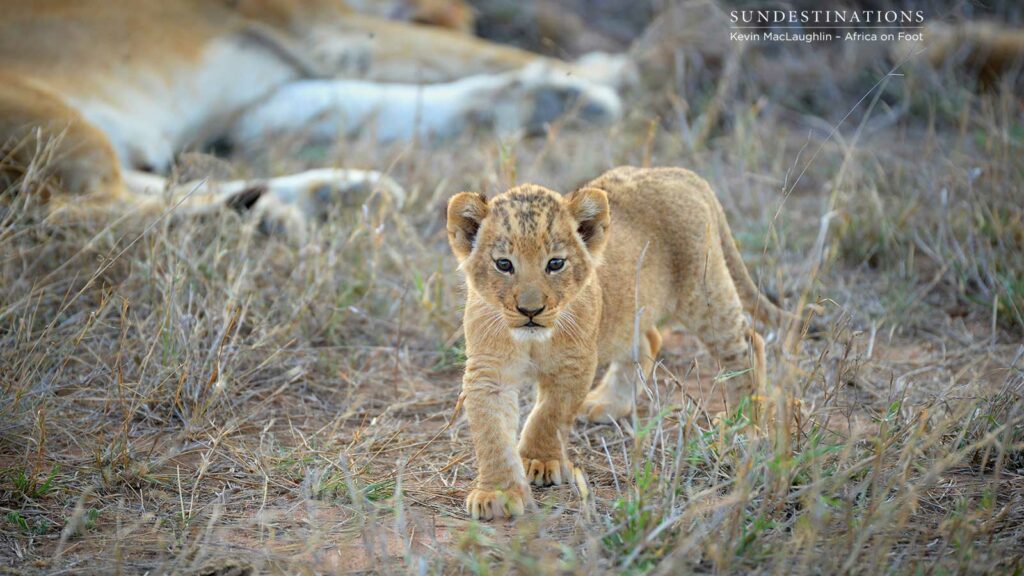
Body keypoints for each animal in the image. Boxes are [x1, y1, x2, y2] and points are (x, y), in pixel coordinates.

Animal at [0, 0, 629, 230]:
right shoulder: (322, 25)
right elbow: (470, 53)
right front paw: (601, 77)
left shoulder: (256, 108)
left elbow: (381, 102)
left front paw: (558, 98)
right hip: (50, 120)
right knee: (69, 210)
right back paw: (260, 220)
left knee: (152, 189)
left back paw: (334, 194)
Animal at [446, 166, 799, 520]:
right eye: (503, 264)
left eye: (555, 263)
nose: (530, 311)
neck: (534, 339)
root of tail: (678, 173)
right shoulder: (490, 371)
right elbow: (491, 432)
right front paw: (497, 493)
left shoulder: (575, 364)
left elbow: (550, 414)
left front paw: (538, 459)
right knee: (650, 340)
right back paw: (609, 403)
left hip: (703, 293)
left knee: (747, 343)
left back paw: (745, 420)